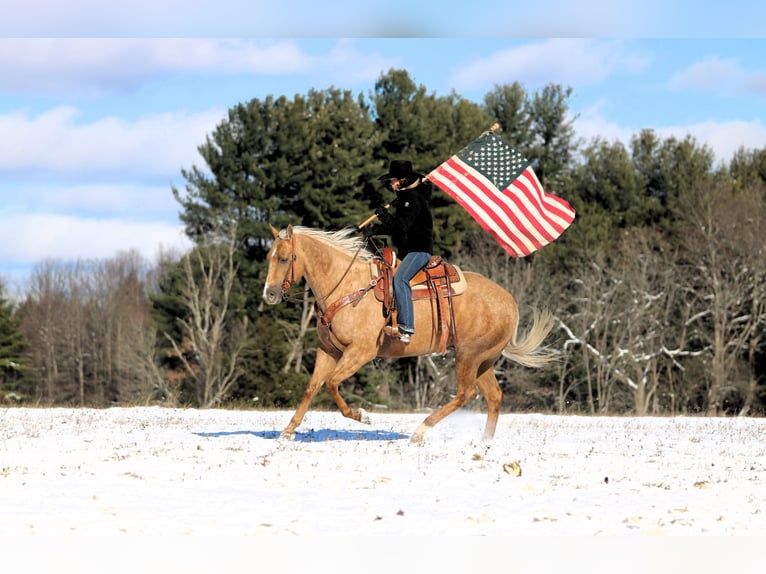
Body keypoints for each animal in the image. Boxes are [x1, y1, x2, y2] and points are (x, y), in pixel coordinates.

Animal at [262, 224, 558, 443]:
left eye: (285, 258)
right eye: (269, 257)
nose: (270, 294)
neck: (348, 286)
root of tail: (510, 303)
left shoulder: (360, 352)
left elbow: (332, 384)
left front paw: (363, 415)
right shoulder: (329, 351)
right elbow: (312, 388)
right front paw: (287, 432)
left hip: (469, 356)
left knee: (466, 393)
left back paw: (420, 431)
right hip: (484, 361)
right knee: (493, 397)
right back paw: (484, 443)